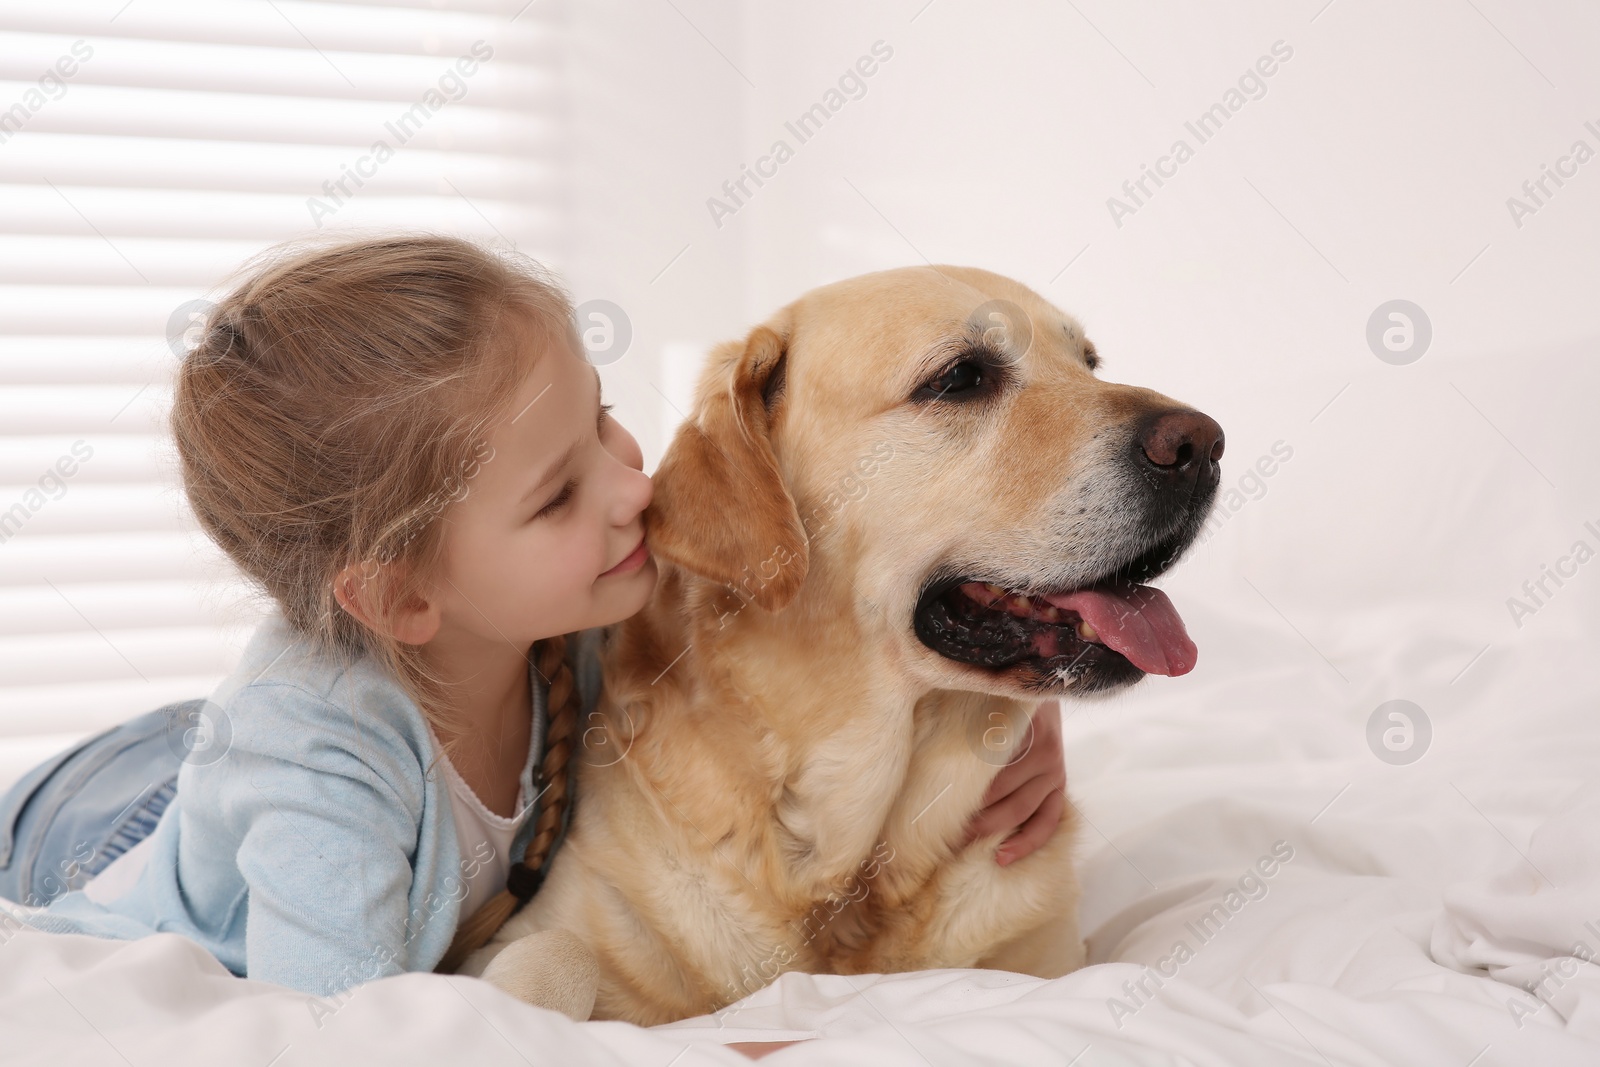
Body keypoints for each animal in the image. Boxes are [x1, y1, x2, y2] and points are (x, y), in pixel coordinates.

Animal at [464, 265, 1222, 1023]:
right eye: (960, 377)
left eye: (1088, 361)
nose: (1204, 443)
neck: (846, 868)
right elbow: (558, 951)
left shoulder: (1052, 958)